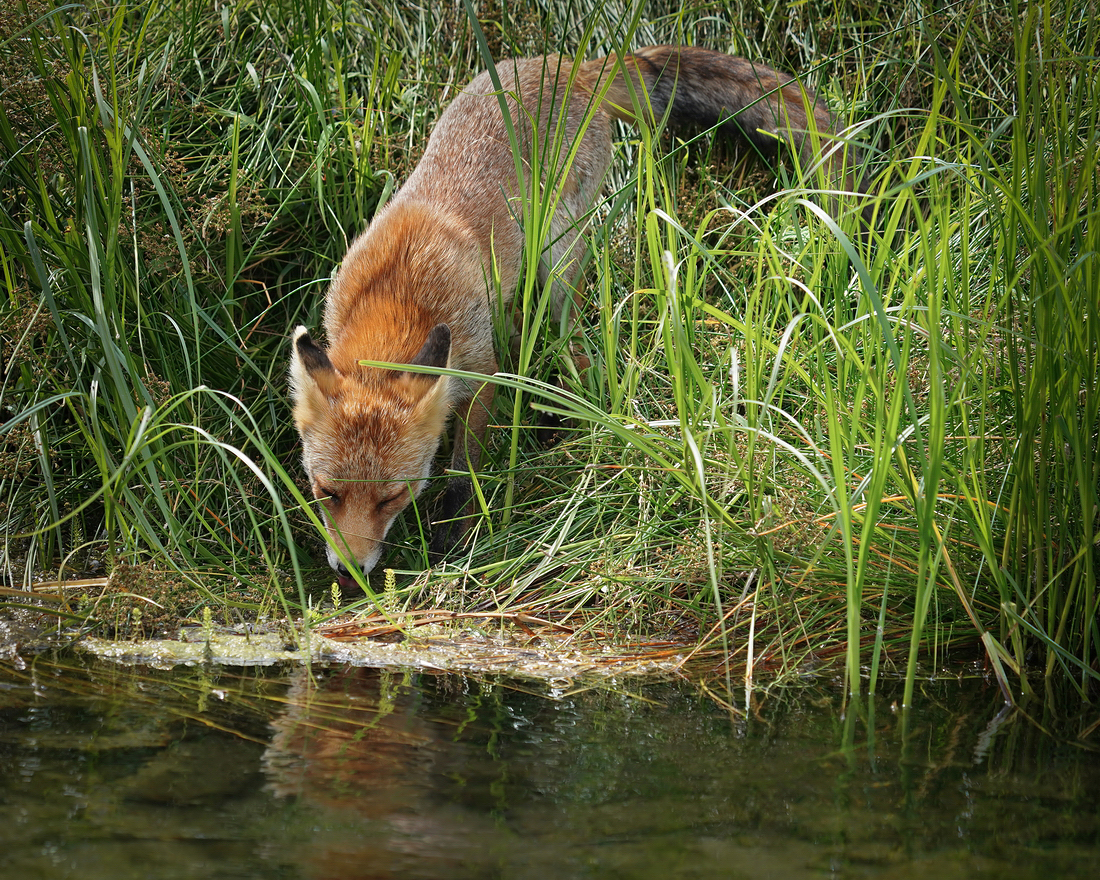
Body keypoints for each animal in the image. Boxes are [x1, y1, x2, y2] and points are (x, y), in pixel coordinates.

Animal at [288, 46, 853, 585]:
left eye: (392, 497)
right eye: (325, 491)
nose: (351, 573)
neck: (398, 297)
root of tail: (574, 66)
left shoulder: (480, 372)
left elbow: (464, 472)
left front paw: (454, 534)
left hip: (557, 256)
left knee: (573, 337)